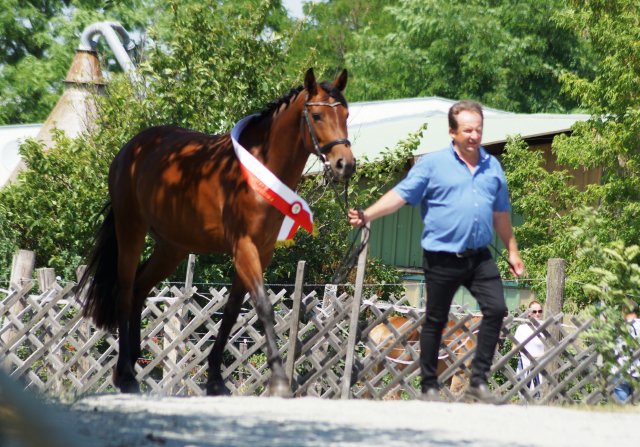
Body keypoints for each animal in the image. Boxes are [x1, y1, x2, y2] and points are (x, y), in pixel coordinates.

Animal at [78, 68, 358, 398]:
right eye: (316, 115)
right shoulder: (243, 248)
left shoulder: (260, 252)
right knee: (124, 289)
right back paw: (124, 373)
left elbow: (232, 312)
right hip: (130, 229)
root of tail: (129, 150)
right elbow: (263, 307)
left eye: (346, 114)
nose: (345, 164)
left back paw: (132, 365)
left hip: (172, 248)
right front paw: (278, 380)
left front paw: (214, 379)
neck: (258, 169)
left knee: (139, 288)